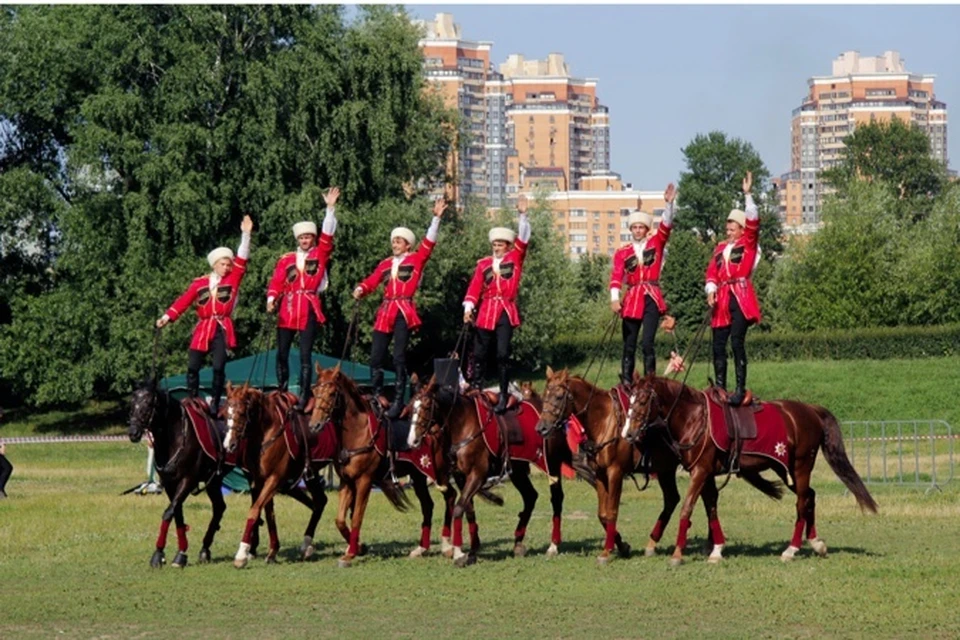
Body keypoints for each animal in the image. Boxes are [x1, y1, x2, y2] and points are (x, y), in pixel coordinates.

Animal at [126, 378, 230, 568]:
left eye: (149, 404)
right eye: (132, 403)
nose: (133, 433)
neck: (177, 436)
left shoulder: (188, 480)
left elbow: (168, 512)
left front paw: (158, 553)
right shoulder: (170, 484)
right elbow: (177, 514)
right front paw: (179, 553)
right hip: (214, 481)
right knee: (219, 507)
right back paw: (205, 549)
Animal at [223, 382, 332, 568]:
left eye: (242, 412)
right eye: (226, 413)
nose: (228, 444)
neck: (268, 431)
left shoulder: (275, 478)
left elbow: (255, 510)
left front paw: (242, 554)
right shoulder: (261, 480)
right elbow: (268, 512)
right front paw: (272, 551)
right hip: (310, 474)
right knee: (320, 501)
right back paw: (307, 545)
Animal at [310, 362, 410, 568]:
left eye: (332, 393)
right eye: (314, 391)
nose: (314, 425)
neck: (358, 432)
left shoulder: (364, 481)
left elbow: (356, 517)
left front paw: (351, 553)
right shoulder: (347, 482)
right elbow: (340, 520)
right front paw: (358, 547)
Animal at [404, 376, 592, 564]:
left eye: (426, 406)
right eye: (411, 407)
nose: (412, 441)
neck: (464, 424)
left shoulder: (478, 475)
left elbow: (458, 508)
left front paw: (458, 553)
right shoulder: (461, 476)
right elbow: (468, 509)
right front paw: (472, 550)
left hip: (550, 463)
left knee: (556, 498)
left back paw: (553, 545)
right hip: (518, 470)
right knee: (530, 496)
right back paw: (518, 542)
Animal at [624, 376, 876, 564]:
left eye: (644, 400)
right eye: (630, 399)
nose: (628, 433)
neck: (693, 418)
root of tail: (810, 410)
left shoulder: (700, 471)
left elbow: (687, 507)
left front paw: (678, 554)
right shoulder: (706, 473)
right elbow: (711, 507)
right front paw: (717, 549)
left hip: (801, 466)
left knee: (802, 502)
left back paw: (791, 549)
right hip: (784, 469)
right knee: (810, 497)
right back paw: (816, 543)